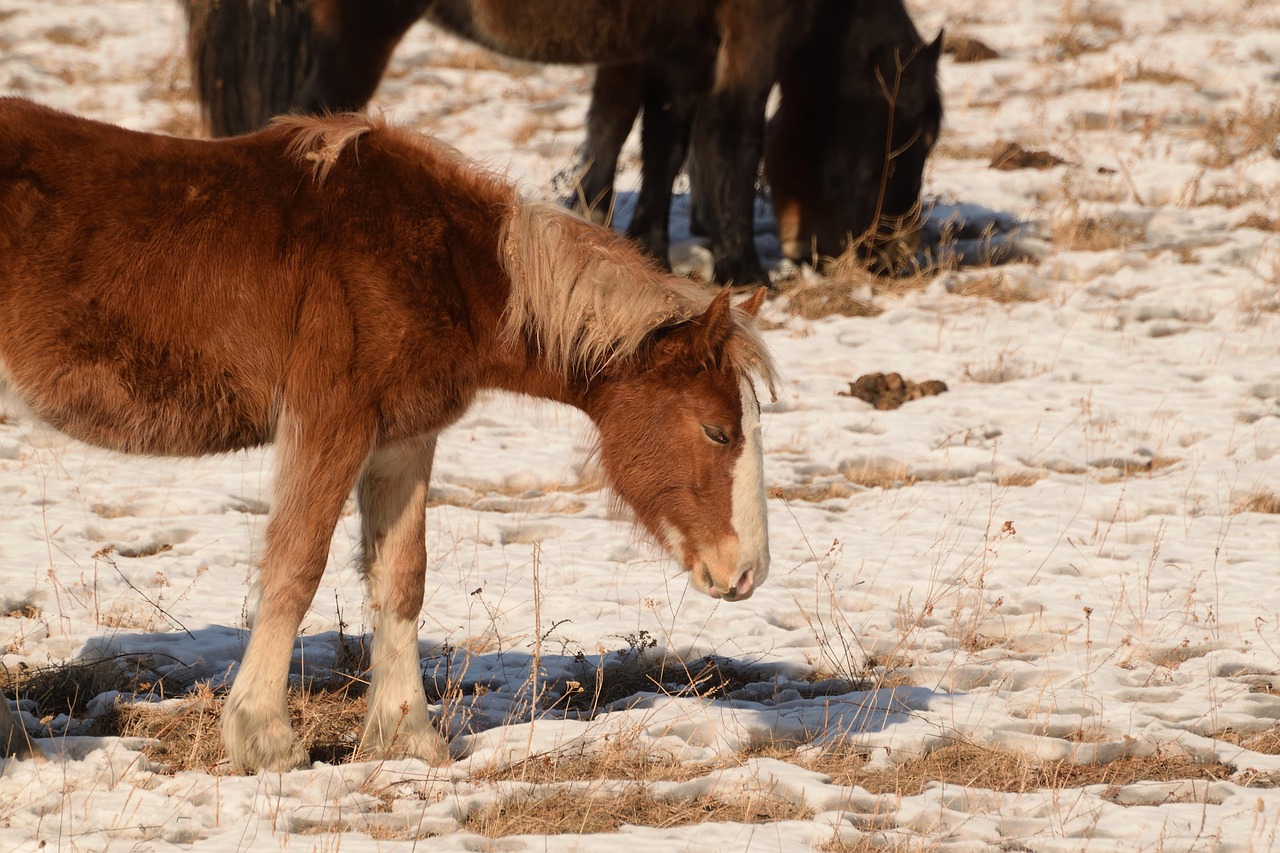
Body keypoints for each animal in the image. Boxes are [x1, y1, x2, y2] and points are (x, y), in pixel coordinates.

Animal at [0, 98, 777, 772]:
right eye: (716, 431)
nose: (748, 572)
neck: (444, 263)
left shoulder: (403, 438)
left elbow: (401, 576)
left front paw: (407, 734)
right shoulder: (331, 421)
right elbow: (297, 565)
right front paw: (265, 739)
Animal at [181, 0, 942, 283]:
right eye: (914, 132)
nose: (889, 261)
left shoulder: (680, 48)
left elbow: (663, 145)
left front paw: (650, 250)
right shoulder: (749, 38)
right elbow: (731, 136)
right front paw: (743, 271)